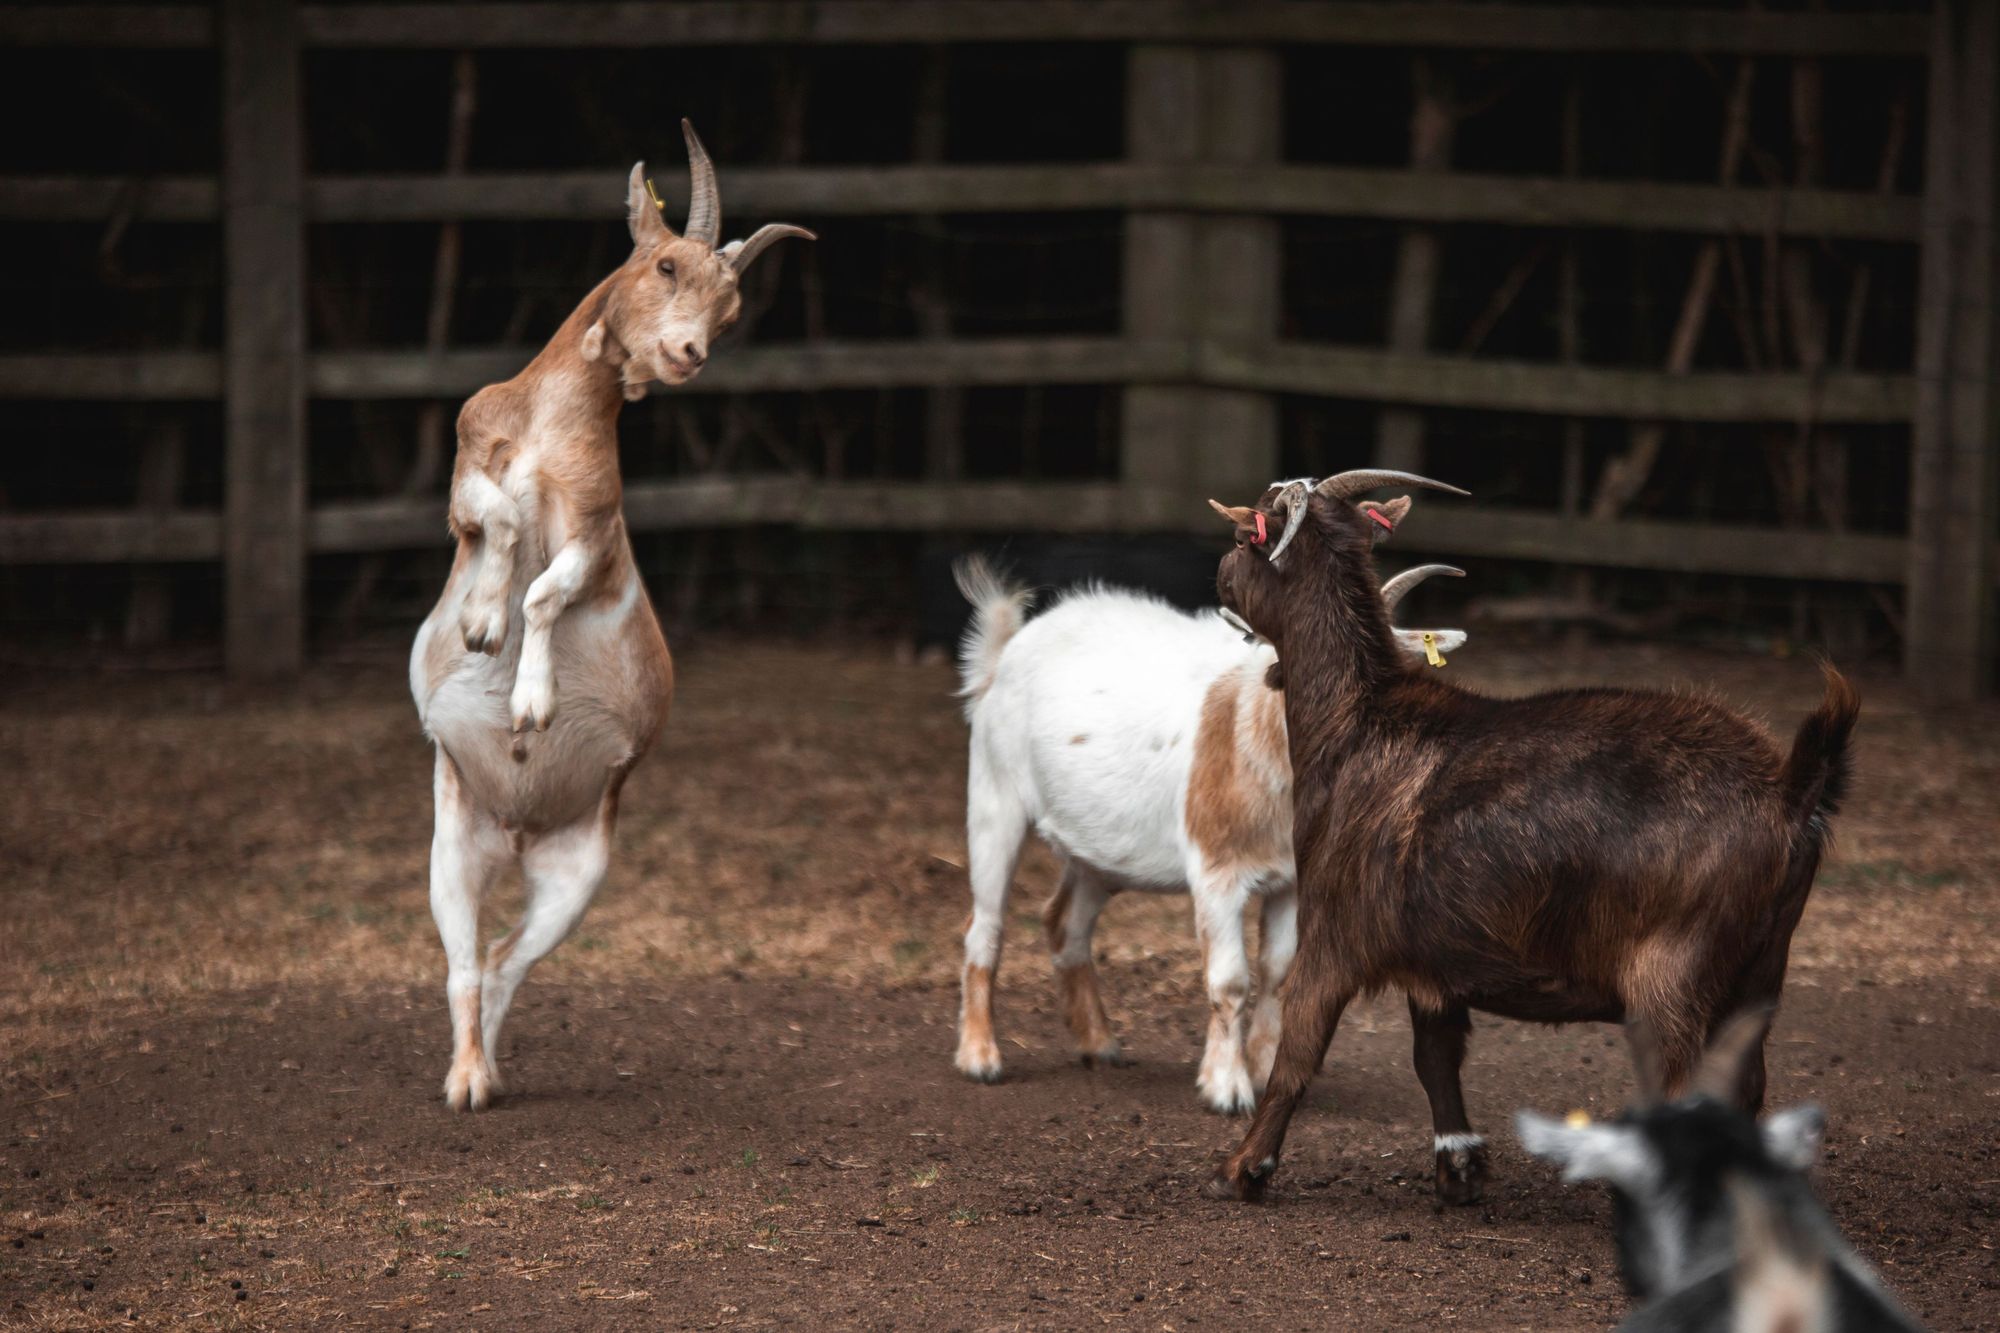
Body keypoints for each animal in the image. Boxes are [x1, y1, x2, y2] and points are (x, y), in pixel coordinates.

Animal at [409, 123, 813, 1111]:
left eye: (731, 310)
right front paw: (480, 625)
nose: (689, 353)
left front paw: (530, 703)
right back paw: (464, 1082)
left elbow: (550, 588)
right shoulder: (464, 485)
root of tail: (516, 828)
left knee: (506, 960)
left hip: (578, 875)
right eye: (665, 263)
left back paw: (487, 1073)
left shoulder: (595, 537)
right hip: (450, 844)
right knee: (466, 960)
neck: (550, 427)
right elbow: (499, 521)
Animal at [952, 545, 1466, 1113]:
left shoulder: (1291, 881)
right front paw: (1226, 1088)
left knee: (1066, 921)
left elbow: (1277, 974)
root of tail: (1005, 652)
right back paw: (980, 1058)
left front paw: (1261, 1072)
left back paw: (1100, 1044)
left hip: (1100, 850)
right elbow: (1230, 982)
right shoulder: (1216, 873)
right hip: (995, 795)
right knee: (985, 926)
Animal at [1201, 469, 1858, 1202]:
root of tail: (1790, 789)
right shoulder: (1433, 959)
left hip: (1672, 977)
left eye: (1247, 535)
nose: (1221, 572)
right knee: (1749, 1089)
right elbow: (1435, 1055)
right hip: (1761, 973)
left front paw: (1242, 1168)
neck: (1355, 723)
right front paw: (1459, 1166)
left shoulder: (1333, 931)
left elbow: (1298, 1053)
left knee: (1688, 1088)